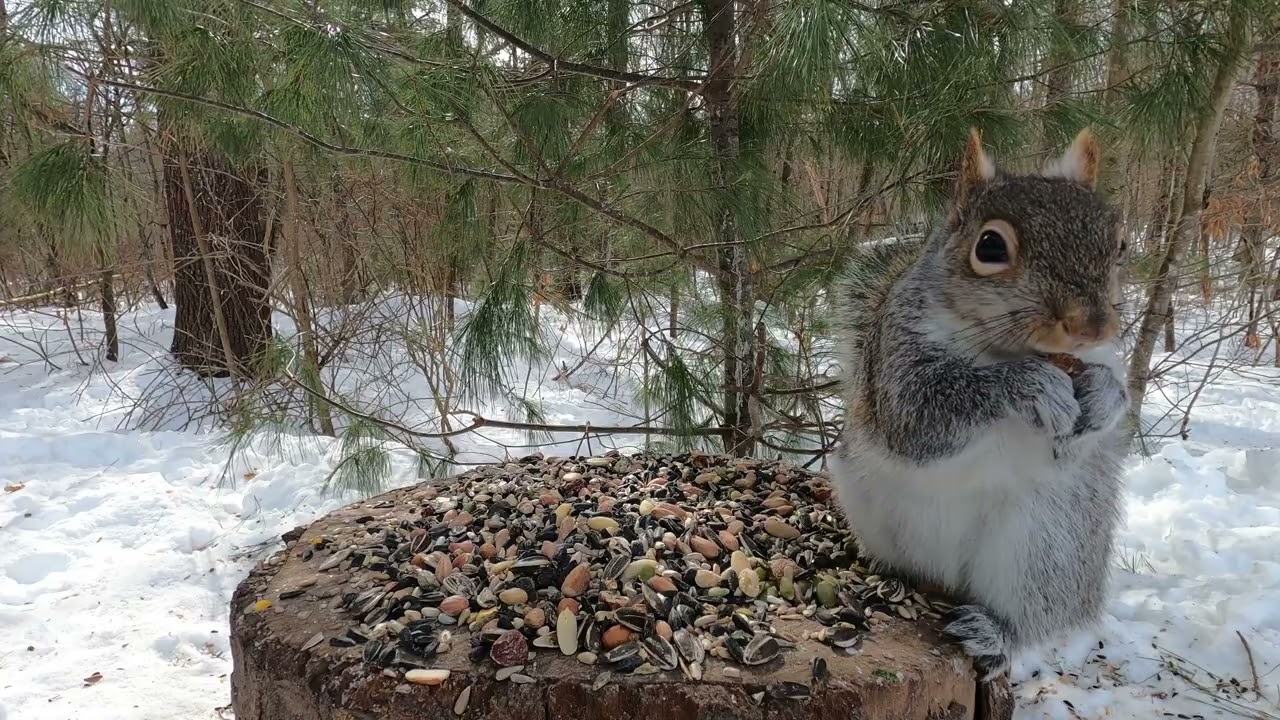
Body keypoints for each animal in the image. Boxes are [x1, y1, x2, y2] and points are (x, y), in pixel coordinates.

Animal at [832, 128, 1129, 680]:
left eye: (1119, 245)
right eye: (990, 246)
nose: (1092, 326)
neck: (1008, 350)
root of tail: (949, 580)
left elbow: (1090, 429)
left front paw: (1102, 397)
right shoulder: (895, 357)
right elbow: (919, 414)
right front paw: (1028, 386)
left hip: (1046, 552)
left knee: (1029, 618)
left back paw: (992, 633)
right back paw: (886, 573)